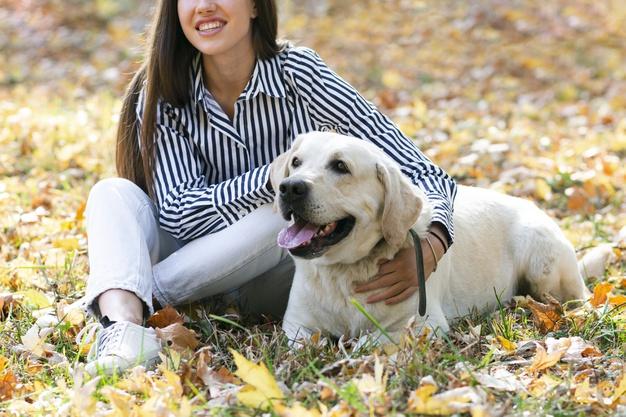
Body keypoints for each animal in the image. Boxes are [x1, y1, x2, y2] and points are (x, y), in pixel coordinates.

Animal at [270, 132, 588, 342]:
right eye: (295, 162)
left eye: (340, 166)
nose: (289, 187)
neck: (344, 274)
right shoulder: (296, 324)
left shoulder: (423, 324)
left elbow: (370, 339)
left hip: (541, 264)